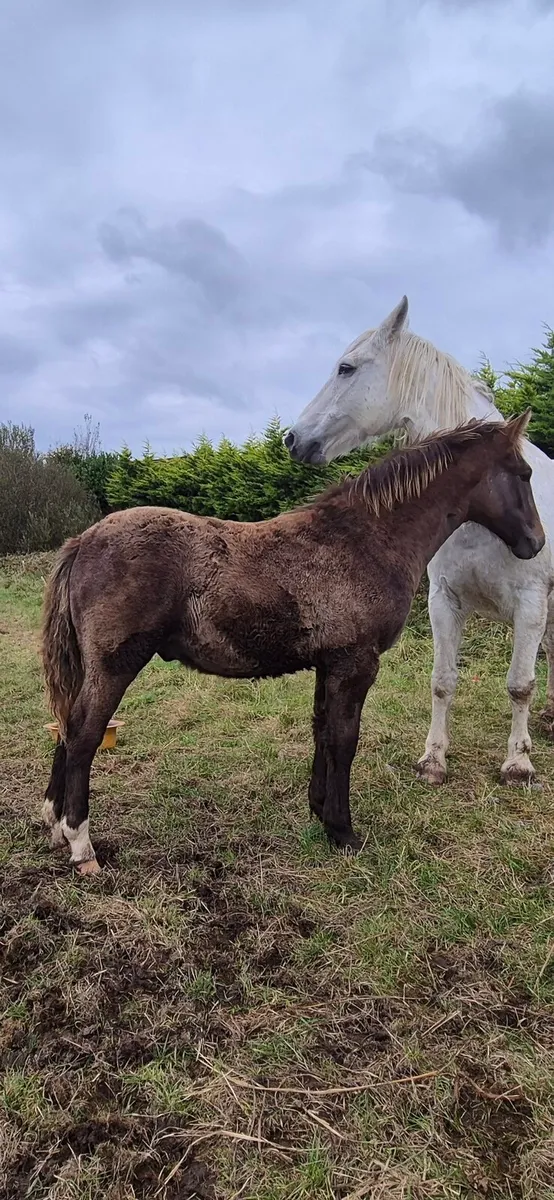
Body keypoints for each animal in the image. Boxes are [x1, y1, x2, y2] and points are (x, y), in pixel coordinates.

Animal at [41, 415, 543, 874]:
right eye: (524, 474)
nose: (535, 543)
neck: (369, 537)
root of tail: (83, 539)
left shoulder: (329, 663)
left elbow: (322, 731)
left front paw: (320, 812)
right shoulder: (355, 663)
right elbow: (344, 739)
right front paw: (343, 830)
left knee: (66, 725)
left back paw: (55, 824)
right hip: (115, 664)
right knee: (83, 733)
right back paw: (82, 844)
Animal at [285, 296, 554, 786]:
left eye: (346, 368)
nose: (293, 439)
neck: (476, 522)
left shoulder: (529, 603)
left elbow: (519, 685)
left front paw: (518, 763)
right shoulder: (443, 600)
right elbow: (443, 681)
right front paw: (433, 760)